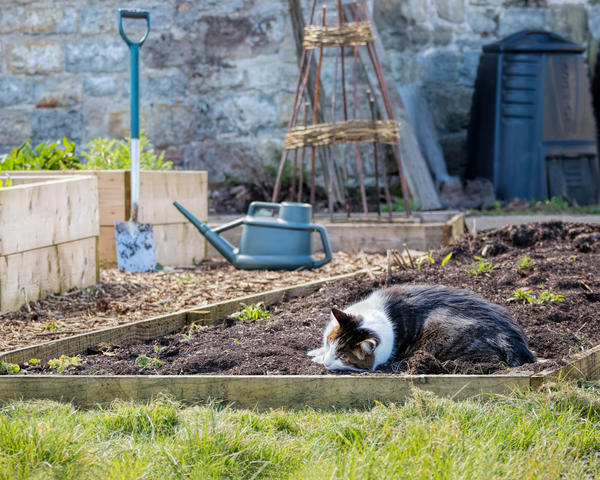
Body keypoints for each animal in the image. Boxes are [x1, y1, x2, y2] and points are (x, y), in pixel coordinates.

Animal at [308, 284, 536, 374]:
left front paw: (318, 359)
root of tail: (512, 336)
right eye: (329, 342)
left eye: (343, 357)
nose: (327, 361)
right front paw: (316, 353)